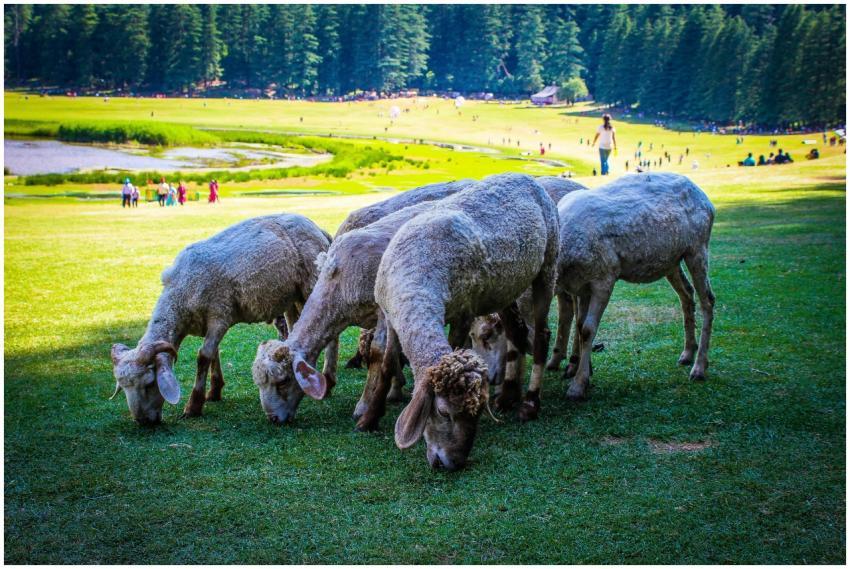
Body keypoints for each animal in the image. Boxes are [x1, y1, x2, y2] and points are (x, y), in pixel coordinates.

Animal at [110, 213, 336, 425]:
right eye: (123, 387)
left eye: (149, 384)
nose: (142, 421)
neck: (180, 296)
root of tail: (316, 227)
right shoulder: (208, 322)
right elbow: (214, 354)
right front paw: (215, 391)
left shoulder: (220, 314)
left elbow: (204, 356)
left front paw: (194, 405)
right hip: (290, 295)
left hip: (311, 282)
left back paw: (328, 379)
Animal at [375, 173, 560, 471]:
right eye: (442, 412)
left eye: (476, 414)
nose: (454, 463)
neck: (416, 279)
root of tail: (525, 177)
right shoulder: (391, 317)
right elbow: (388, 362)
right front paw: (370, 415)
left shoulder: (463, 313)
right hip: (505, 287)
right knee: (517, 333)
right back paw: (508, 395)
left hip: (548, 265)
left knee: (541, 334)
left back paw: (530, 403)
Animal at [555, 172, 716, 401]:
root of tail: (705, 197)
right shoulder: (581, 285)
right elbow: (579, 326)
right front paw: (584, 373)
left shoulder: (604, 276)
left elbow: (587, 330)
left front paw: (578, 386)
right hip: (672, 260)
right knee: (687, 294)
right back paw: (687, 353)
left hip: (698, 248)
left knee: (708, 301)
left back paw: (699, 367)